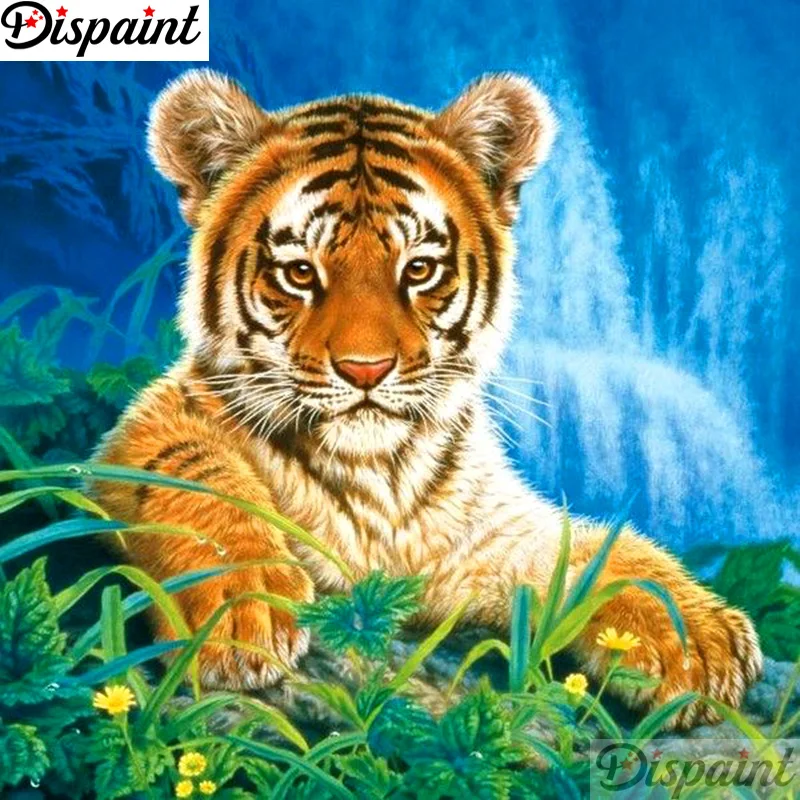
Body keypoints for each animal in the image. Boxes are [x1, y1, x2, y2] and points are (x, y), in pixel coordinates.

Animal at [93, 69, 762, 729]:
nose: (365, 369)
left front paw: (695, 633)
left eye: (418, 269)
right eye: (300, 272)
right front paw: (243, 607)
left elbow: (588, 547)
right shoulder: (147, 424)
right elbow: (193, 473)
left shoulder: (478, 547)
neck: (377, 480)